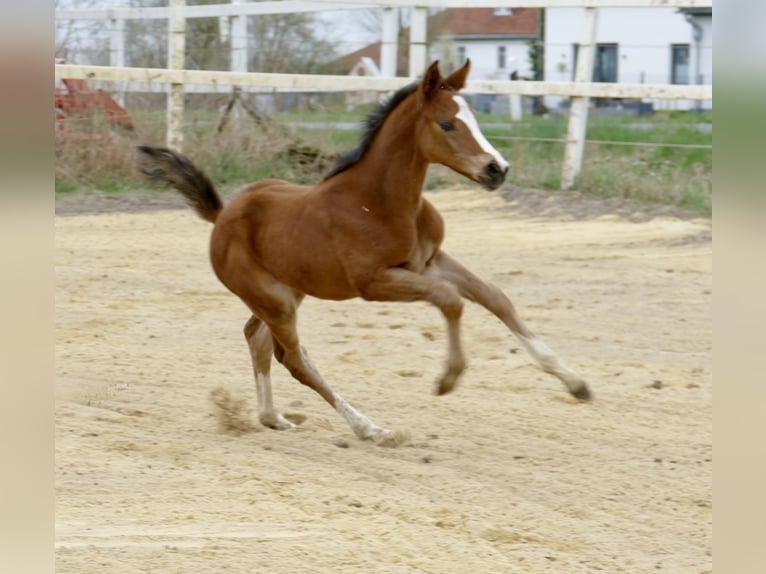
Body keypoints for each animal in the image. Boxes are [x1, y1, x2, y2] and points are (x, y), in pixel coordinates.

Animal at [137, 60, 591, 445]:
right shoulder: (375, 282)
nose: (497, 170)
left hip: (287, 291)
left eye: (474, 119)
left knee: (257, 338)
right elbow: (452, 301)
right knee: (294, 358)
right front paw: (449, 377)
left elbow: (496, 298)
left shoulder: (431, 262)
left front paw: (575, 382)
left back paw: (273, 417)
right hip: (273, 299)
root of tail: (222, 214)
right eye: (446, 123)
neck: (381, 201)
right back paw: (370, 428)